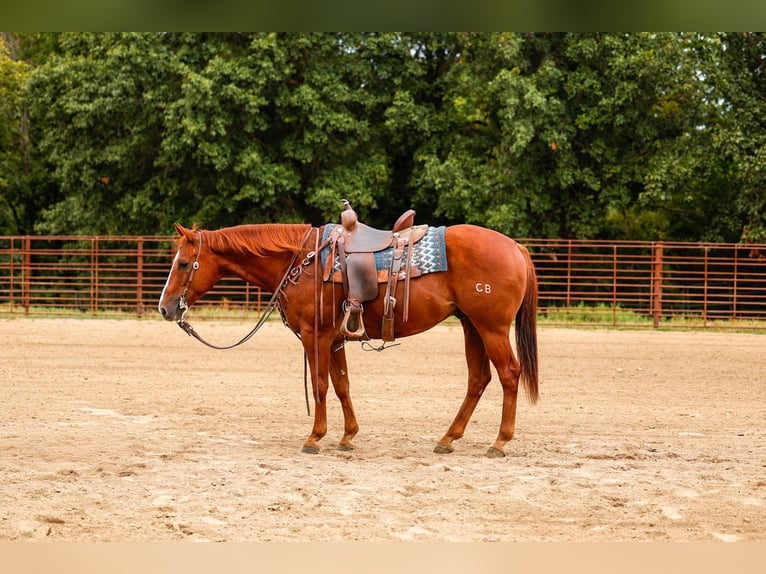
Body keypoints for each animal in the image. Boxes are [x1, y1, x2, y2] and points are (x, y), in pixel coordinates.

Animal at [158, 220, 539, 458]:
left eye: (183, 263)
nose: (165, 308)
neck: (302, 260)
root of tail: (516, 247)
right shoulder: (336, 338)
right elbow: (342, 385)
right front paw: (347, 436)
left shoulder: (315, 336)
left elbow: (320, 385)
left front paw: (315, 438)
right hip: (471, 325)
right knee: (479, 378)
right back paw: (448, 439)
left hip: (491, 327)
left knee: (508, 374)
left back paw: (499, 442)